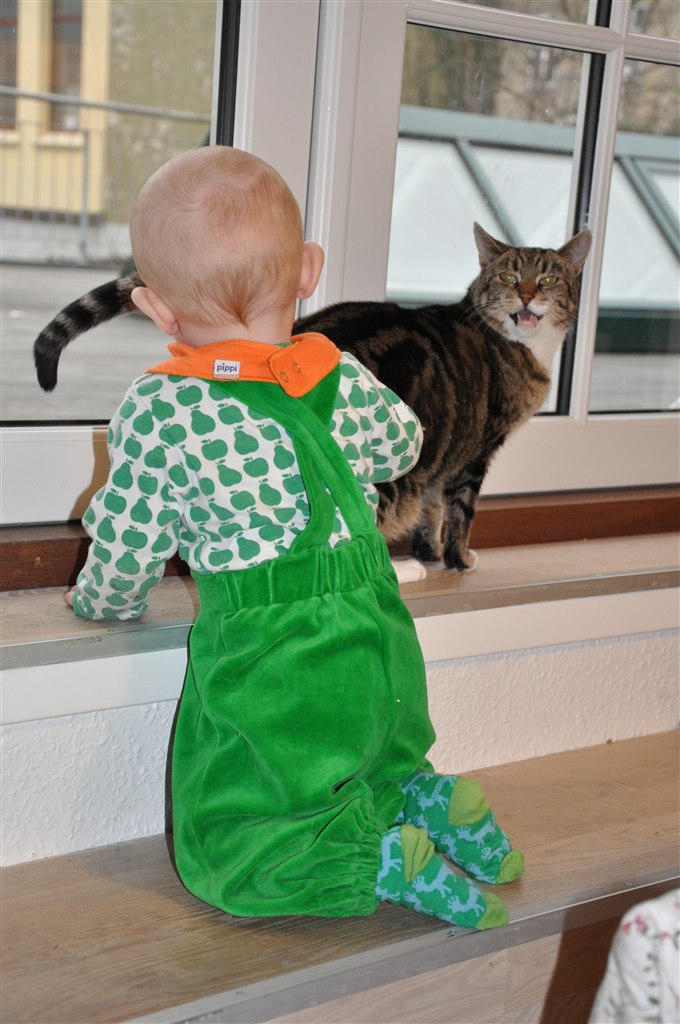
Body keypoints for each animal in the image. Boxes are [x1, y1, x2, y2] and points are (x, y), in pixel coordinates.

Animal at [33, 223, 591, 572]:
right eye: (508, 275)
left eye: (548, 277)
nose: (526, 295)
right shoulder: (478, 450)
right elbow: (459, 512)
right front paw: (457, 559)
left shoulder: (449, 453)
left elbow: (433, 507)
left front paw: (429, 552)